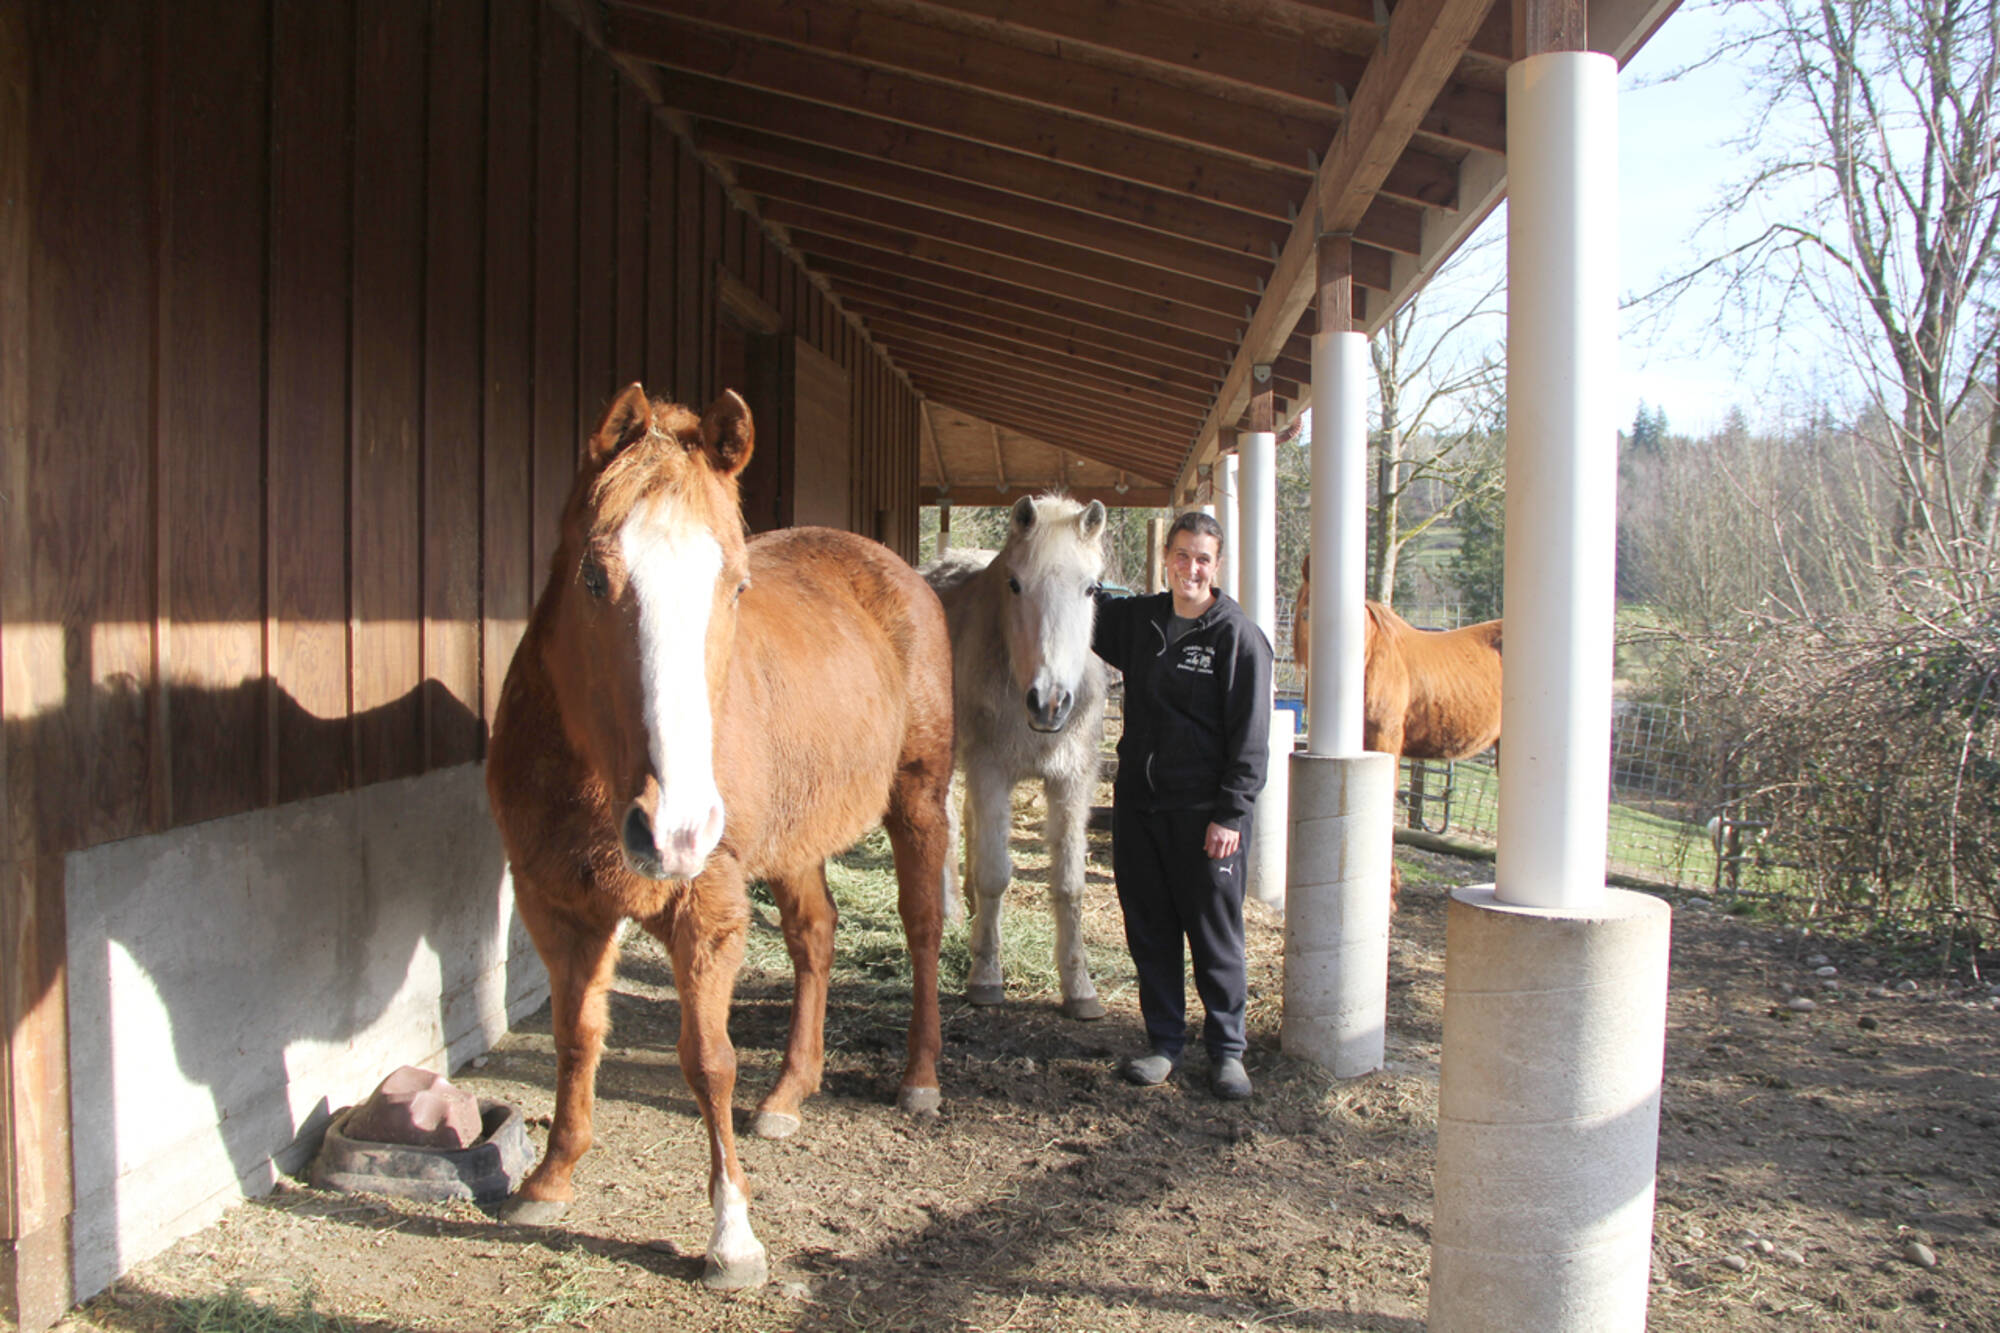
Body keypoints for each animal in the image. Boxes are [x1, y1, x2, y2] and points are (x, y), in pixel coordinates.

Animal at [484, 384, 952, 1288]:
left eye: (735, 585)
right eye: (594, 573)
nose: (674, 827)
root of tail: (894, 569)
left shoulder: (704, 908)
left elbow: (708, 1058)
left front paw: (732, 1234)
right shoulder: (556, 905)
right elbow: (573, 1036)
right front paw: (550, 1176)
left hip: (917, 799)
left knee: (921, 927)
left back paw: (919, 1077)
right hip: (795, 840)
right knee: (814, 935)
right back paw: (790, 1093)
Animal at [920, 490, 1112, 1016]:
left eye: (1092, 589)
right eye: (1015, 584)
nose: (1049, 701)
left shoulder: (1072, 782)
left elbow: (1069, 883)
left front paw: (1079, 987)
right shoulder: (990, 771)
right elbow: (994, 874)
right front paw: (986, 977)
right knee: (947, 826)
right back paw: (948, 913)